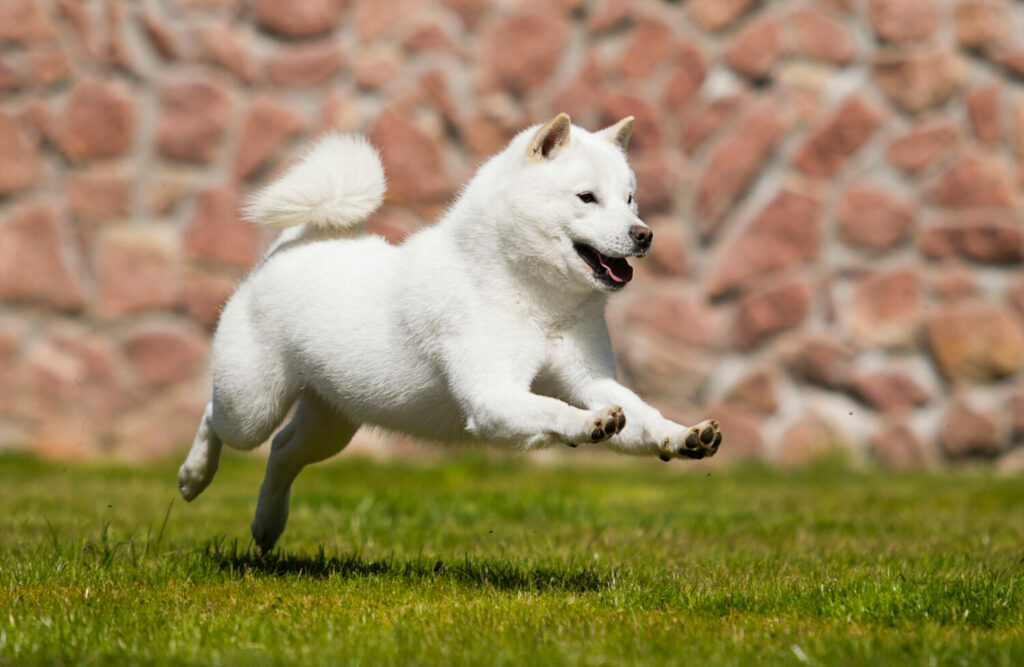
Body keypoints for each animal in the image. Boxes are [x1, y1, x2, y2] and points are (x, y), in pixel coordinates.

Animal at [178, 113, 720, 553]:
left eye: (630, 199)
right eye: (587, 198)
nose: (644, 234)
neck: (531, 297)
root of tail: (293, 242)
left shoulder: (592, 380)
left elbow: (644, 418)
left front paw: (685, 436)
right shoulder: (492, 396)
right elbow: (552, 409)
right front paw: (588, 424)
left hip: (331, 421)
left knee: (283, 452)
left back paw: (267, 525)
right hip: (253, 405)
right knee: (216, 418)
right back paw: (192, 477)